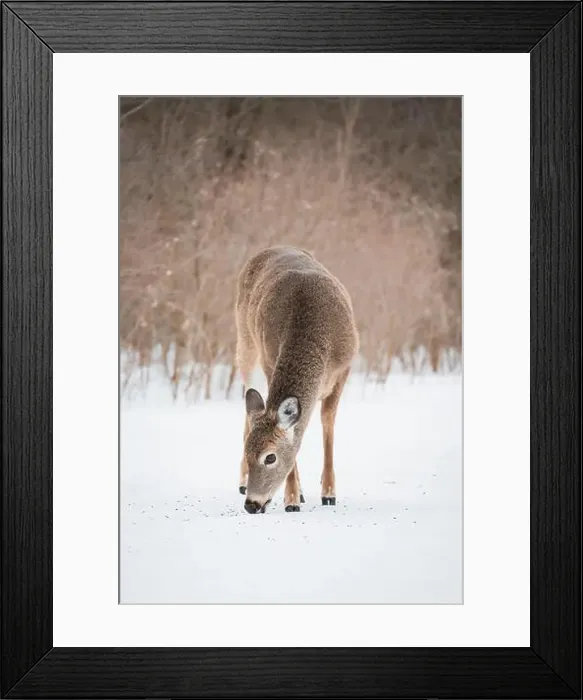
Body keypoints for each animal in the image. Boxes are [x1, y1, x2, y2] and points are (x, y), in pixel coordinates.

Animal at [235, 246, 359, 514]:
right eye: (248, 453)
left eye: (270, 457)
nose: (251, 504)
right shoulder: (270, 361)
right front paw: (291, 499)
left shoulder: (344, 368)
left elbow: (327, 420)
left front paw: (329, 493)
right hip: (246, 348)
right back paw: (245, 483)